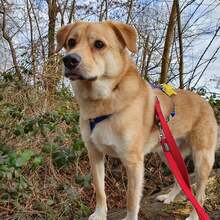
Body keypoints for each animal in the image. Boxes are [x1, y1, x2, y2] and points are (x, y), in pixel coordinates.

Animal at [55, 21, 218, 220]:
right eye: (71, 42)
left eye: (99, 44)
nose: (69, 60)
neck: (104, 102)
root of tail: (206, 103)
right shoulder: (95, 154)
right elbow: (100, 190)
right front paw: (100, 213)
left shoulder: (133, 163)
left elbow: (131, 199)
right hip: (167, 153)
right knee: (181, 179)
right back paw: (169, 197)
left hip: (202, 158)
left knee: (200, 193)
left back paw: (194, 214)